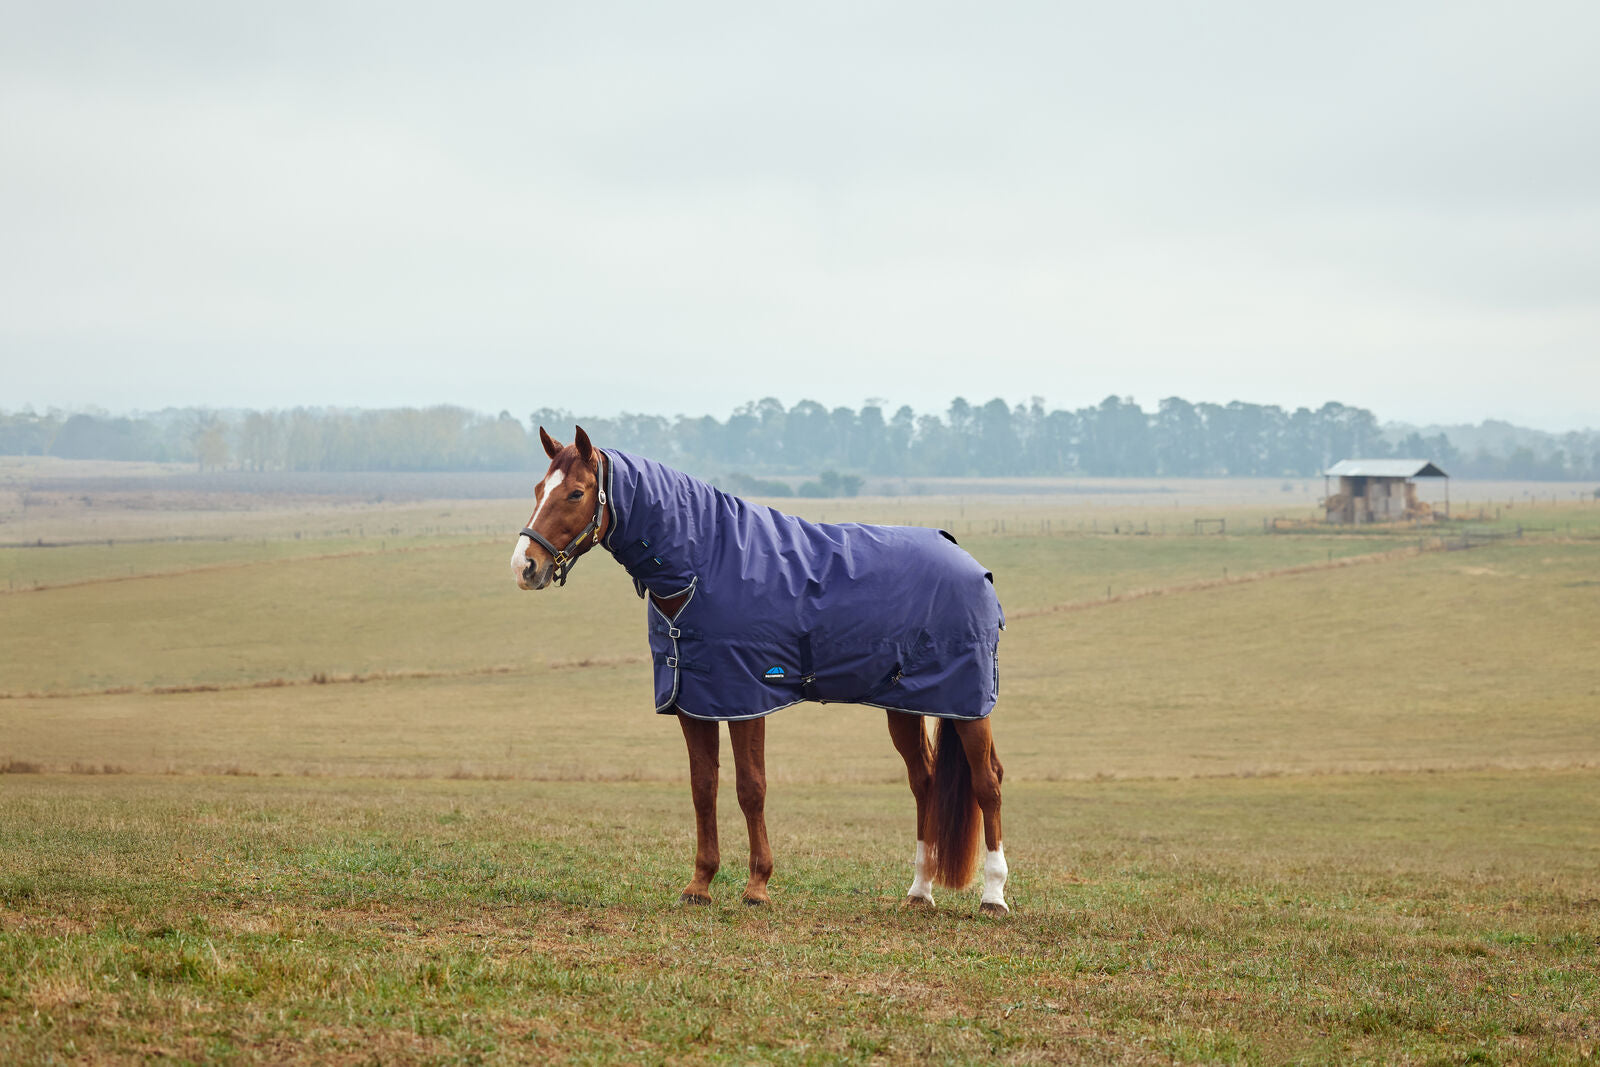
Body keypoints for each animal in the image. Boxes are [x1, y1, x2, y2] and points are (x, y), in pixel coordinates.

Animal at [510, 426, 1010, 915]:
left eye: (576, 493)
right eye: (537, 489)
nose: (525, 566)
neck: (706, 565)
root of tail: (973, 565)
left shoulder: (745, 699)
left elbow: (751, 788)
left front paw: (757, 887)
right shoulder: (694, 702)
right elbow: (703, 787)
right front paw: (700, 885)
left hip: (969, 705)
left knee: (988, 782)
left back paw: (993, 896)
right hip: (904, 705)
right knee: (924, 782)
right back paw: (920, 891)